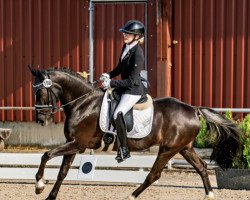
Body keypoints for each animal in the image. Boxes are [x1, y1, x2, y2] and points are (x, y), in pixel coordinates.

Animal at [29, 67, 242, 200]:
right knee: (202, 167)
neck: (83, 102)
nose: (40, 120)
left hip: (168, 149)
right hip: (184, 148)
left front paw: (39, 185)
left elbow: (46, 155)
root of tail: (193, 109)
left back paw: (130, 196)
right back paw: (209, 195)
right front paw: (49, 195)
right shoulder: (73, 144)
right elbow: (62, 172)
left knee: (154, 175)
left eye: (40, 93)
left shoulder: (78, 144)